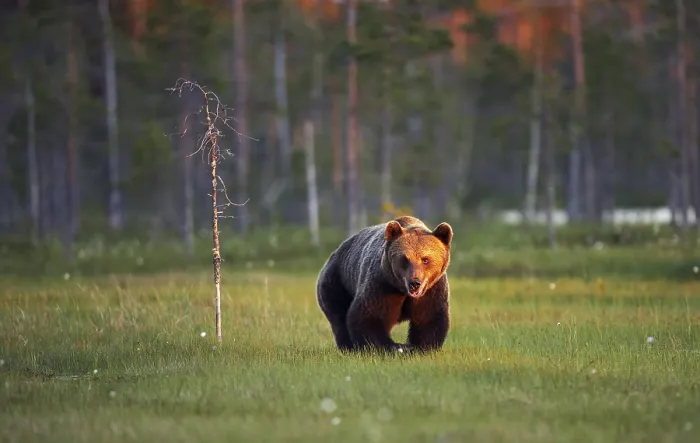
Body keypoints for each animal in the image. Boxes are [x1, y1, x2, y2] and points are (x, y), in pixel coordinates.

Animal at [316, 215, 453, 354]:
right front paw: (394, 347)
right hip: (336, 282)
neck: (402, 290)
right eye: (405, 259)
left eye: (425, 259)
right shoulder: (382, 284)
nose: (414, 283)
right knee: (339, 317)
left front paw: (420, 347)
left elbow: (428, 318)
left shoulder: (431, 290)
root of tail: (334, 253)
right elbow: (370, 316)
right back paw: (348, 347)